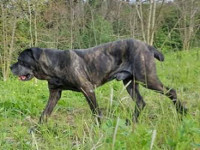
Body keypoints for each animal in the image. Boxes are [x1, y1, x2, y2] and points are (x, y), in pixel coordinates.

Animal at [10, 39, 187, 124]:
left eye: (20, 60)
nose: (11, 67)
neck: (54, 63)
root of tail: (148, 46)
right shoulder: (55, 94)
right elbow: (44, 114)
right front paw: (36, 129)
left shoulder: (87, 89)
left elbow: (96, 112)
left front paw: (99, 128)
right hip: (130, 83)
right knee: (141, 102)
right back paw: (131, 122)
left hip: (147, 79)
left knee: (171, 91)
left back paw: (182, 112)